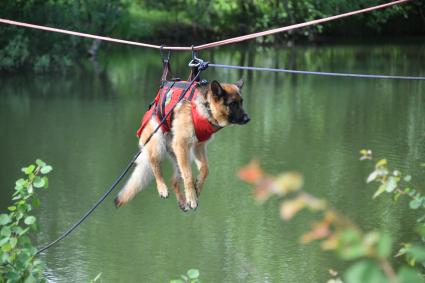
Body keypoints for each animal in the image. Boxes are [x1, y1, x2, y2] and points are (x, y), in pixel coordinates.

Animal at [114, 79, 250, 212]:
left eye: (241, 102)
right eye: (232, 104)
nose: (248, 119)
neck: (206, 106)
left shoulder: (198, 147)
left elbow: (205, 169)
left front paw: (197, 187)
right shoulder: (181, 144)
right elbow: (189, 176)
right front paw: (192, 198)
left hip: (183, 157)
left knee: (174, 180)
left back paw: (183, 201)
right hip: (158, 144)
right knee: (155, 165)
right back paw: (162, 188)